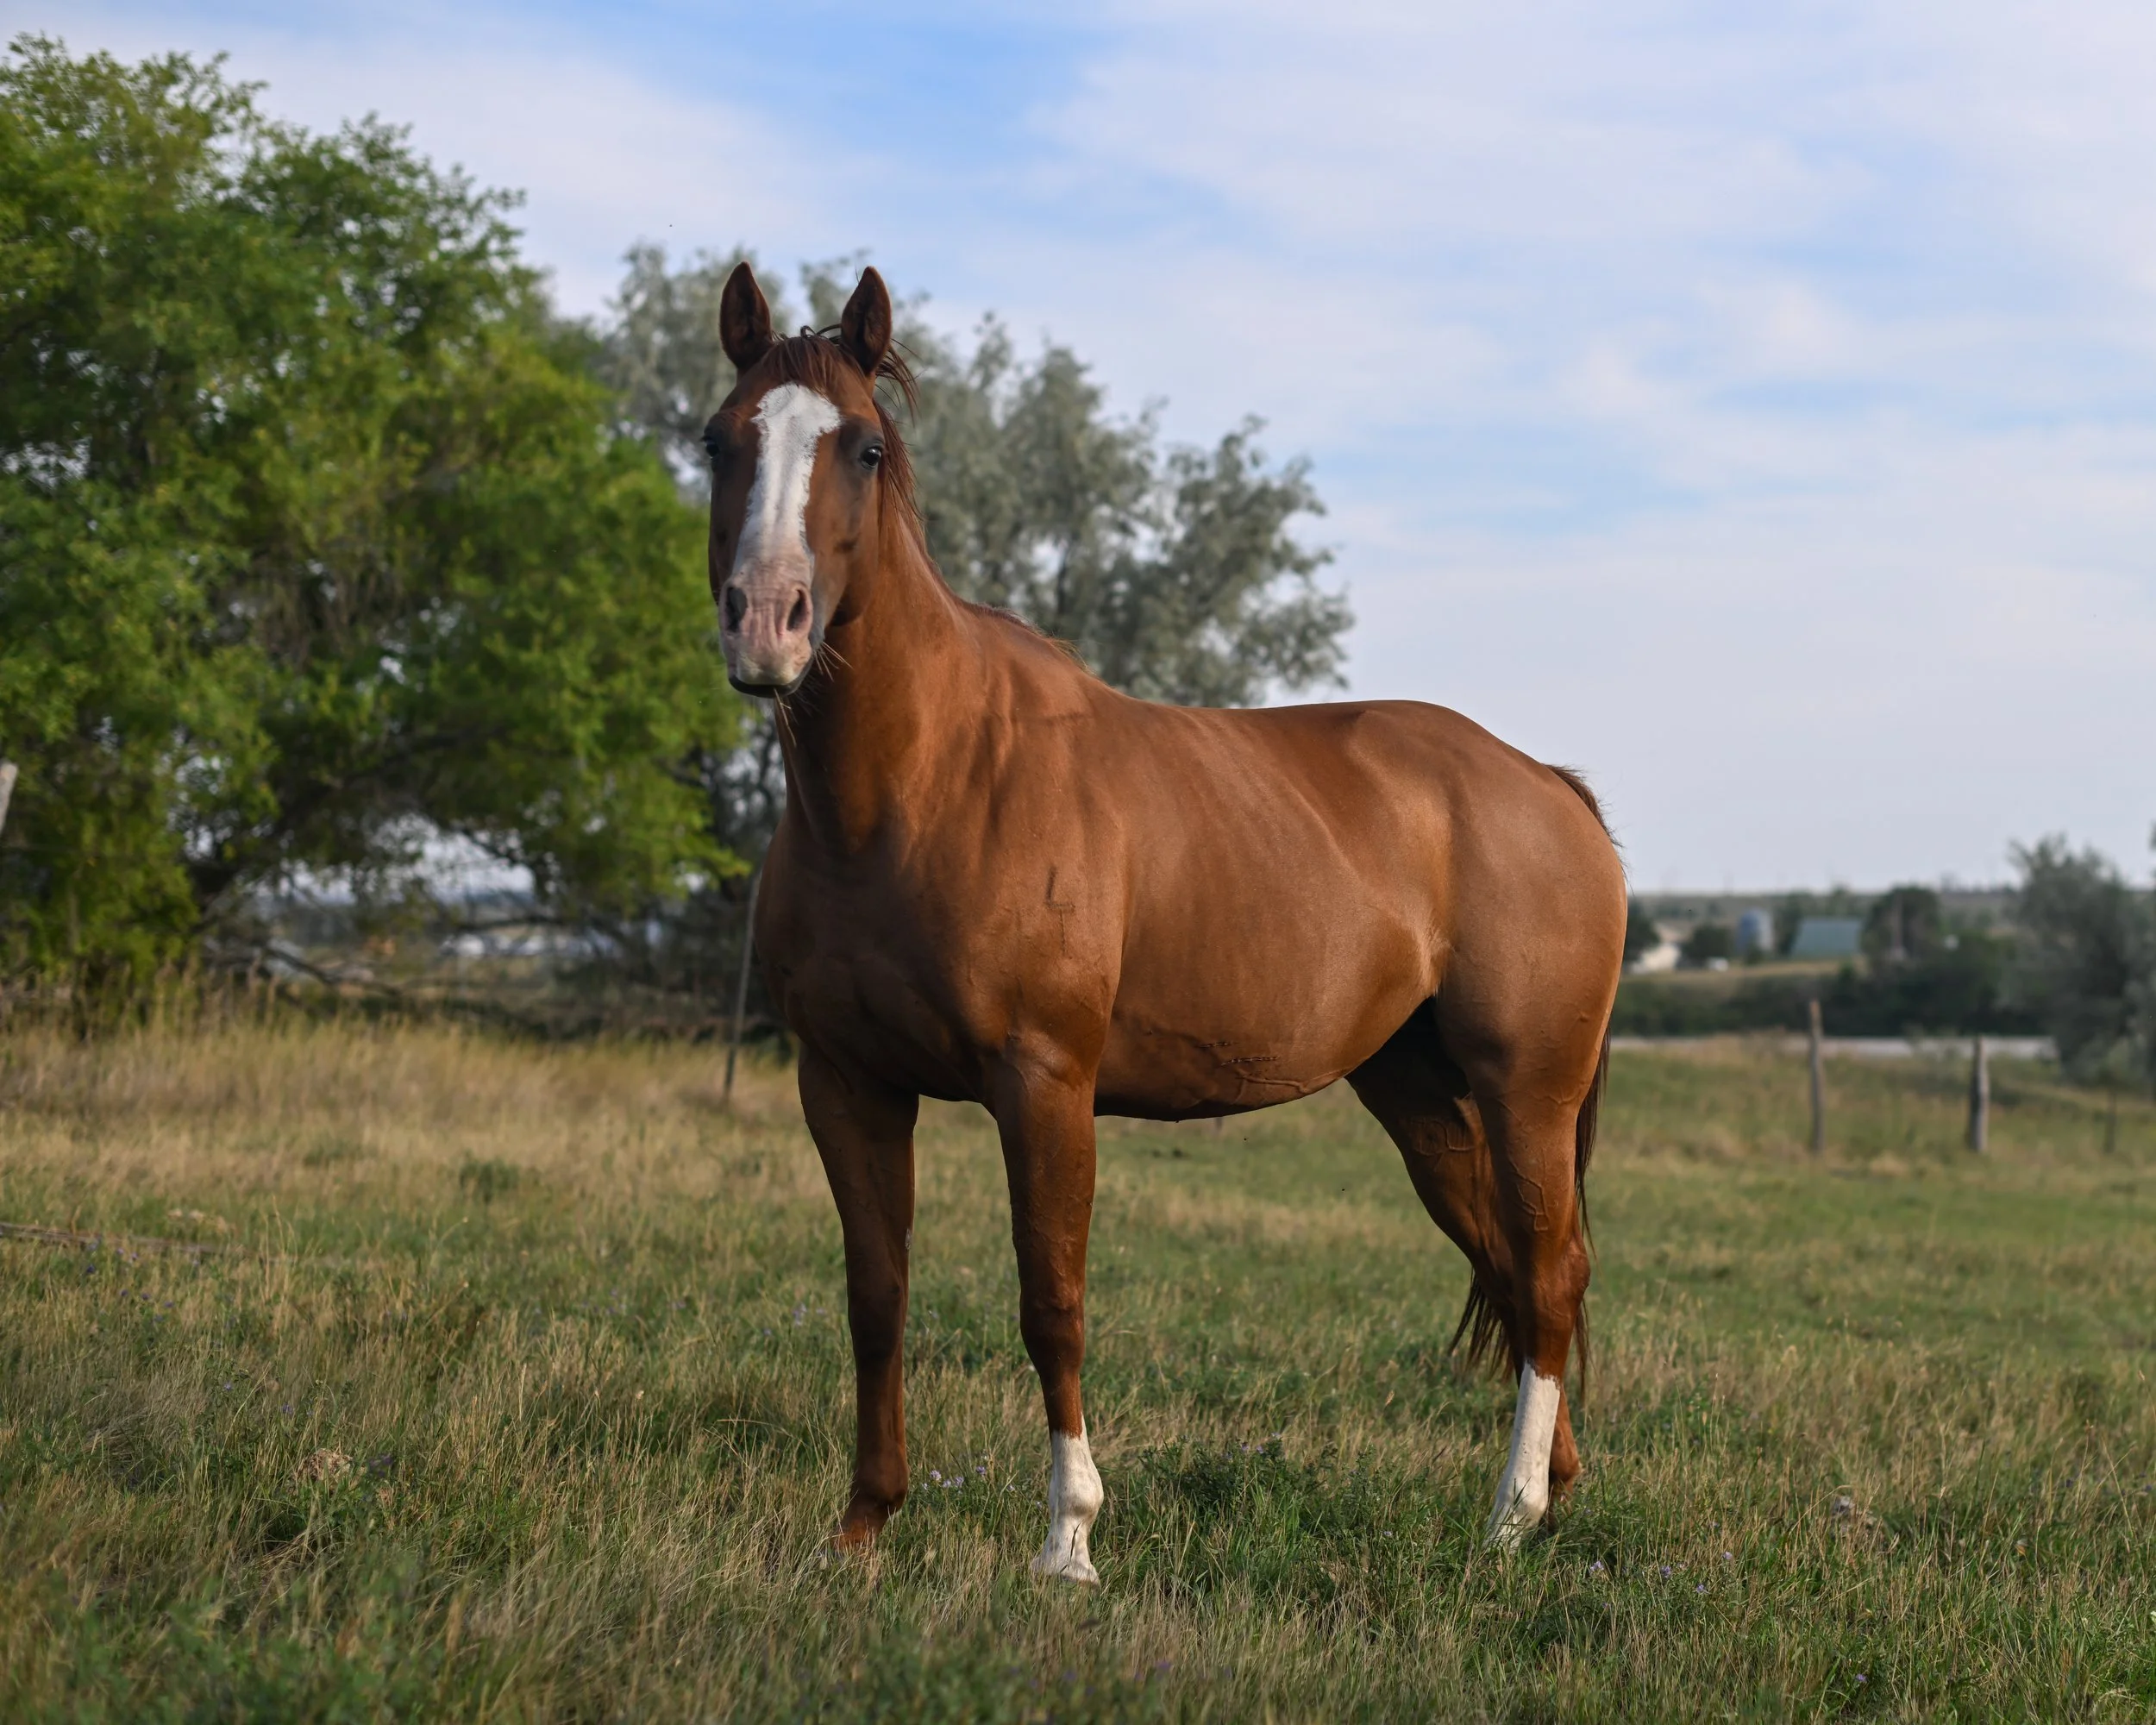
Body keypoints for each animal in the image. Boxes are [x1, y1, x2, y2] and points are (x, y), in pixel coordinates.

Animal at [703, 262, 1625, 1583]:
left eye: (865, 448)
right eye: (719, 439)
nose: (765, 622)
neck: (923, 781)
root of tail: (1547, 785)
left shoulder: (1044, 1084)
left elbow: (1052, 1301)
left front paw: (1068, 1541)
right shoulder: (845, 1082)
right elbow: (875, 1294)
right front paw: (863, 1525)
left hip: (1526, 1092)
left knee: (1548, 1278)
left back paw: (1506, 1518)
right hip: (1414, 1094)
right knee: (1513, 1270)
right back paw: (1549, 1497)